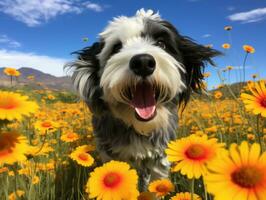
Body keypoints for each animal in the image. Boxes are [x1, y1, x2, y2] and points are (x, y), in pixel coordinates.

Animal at [66, 9, 220, 191]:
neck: (139, 127)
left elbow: (154, 185)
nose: (143, 62)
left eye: (161, 43)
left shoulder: (158, 155)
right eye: (116, 47)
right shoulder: (110, 152)